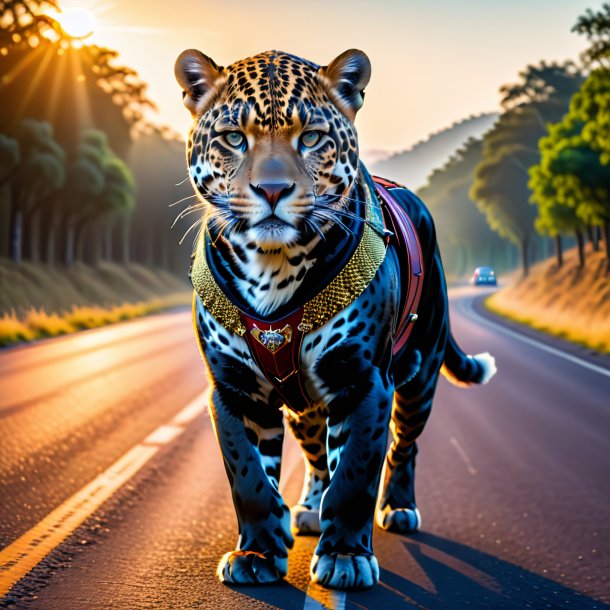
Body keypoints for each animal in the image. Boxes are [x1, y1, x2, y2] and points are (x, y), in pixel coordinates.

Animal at [172, 47, 494, 588]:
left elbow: (356, 472)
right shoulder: (232, 388)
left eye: (311, 138)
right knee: (316, 453)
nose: (273, 190)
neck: (272, 266)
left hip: (420, 374)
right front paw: (258, 552)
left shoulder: (363, 380)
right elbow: (247, 475)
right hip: (303, 402)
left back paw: (399, 508)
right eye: (234, 138)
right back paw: (307, 507)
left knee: (404, 445)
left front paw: (345, 556)